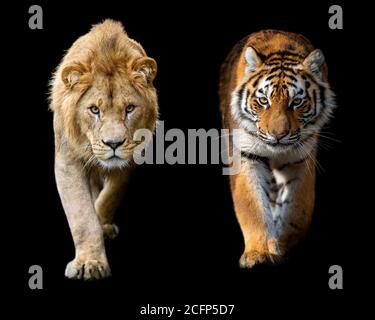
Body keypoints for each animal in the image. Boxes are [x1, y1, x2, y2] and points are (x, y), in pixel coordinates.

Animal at [49, 20, 159, 280]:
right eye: (94, 110)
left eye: (129, 108)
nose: (113, 144)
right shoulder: (67, 160)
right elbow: (82, 215)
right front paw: (90, 262)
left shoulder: (131, 157)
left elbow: (110, 196)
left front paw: (101, 224)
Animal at [219, 30, 336, 268]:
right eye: (263, 101)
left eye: (297, 102)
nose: (278, 135)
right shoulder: (247, 156)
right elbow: (252, 206)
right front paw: (258, 253)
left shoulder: (301, 157)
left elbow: (298, 209)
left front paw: (281, 245)